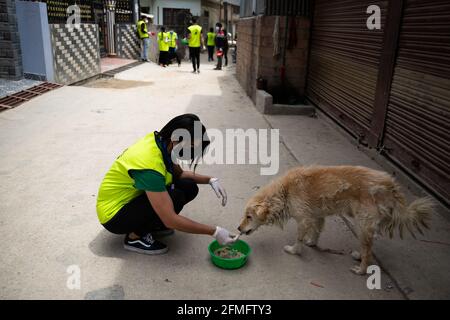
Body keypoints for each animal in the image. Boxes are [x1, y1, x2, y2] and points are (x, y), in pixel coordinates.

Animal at [237, 166, 434, 274]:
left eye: (249, 217)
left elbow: (298, 239)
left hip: (362, 225)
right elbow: (316, 232)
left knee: (368, 251)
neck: (285, 192)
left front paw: (294, 250)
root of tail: (390, 185)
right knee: (368, 248)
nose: (239, 229)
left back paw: (361, 269)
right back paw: (358, 255)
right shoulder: (318, 216)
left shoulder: (304, 220)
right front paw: (312, 243)